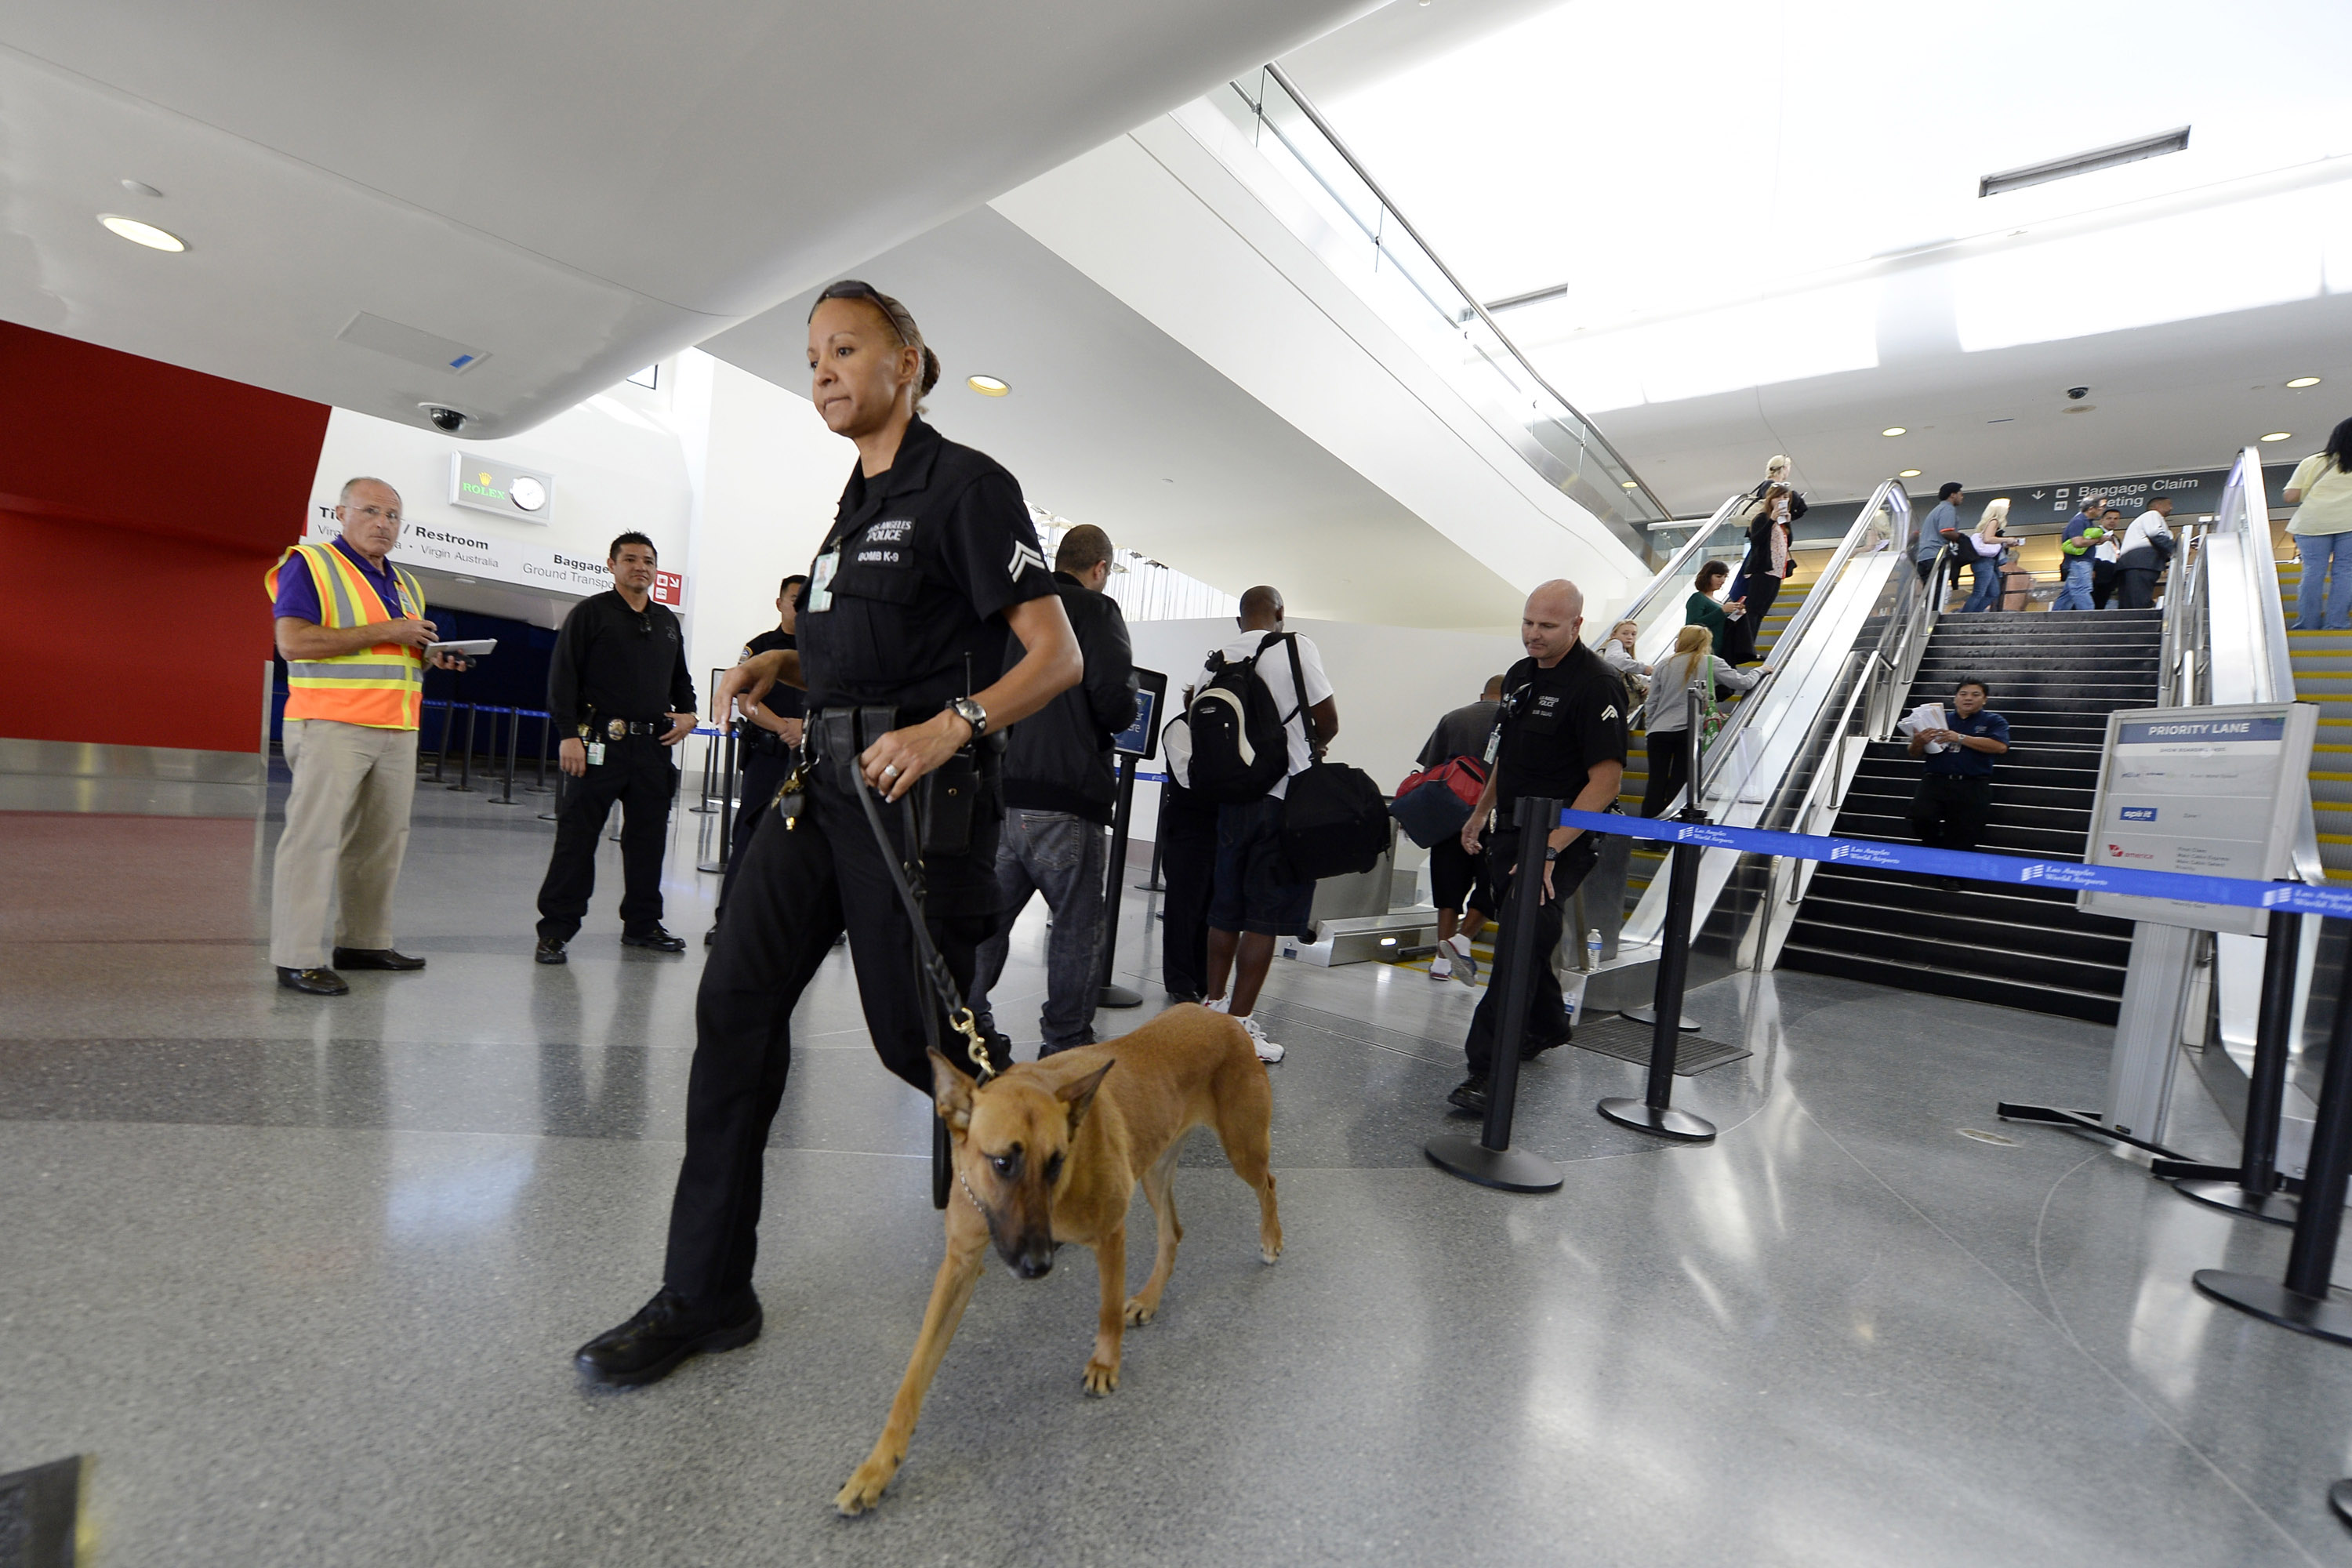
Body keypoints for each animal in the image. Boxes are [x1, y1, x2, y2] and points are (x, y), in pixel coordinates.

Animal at [837, 1011, 1289, 1514]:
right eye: (1002, 1162)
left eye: (1056, 1163)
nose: (1038, 1266)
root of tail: (1220, 1017)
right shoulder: (959, 1267)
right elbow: (913, 1378)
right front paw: (878, 1467)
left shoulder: (1110, 1234)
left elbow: (1106, 1310)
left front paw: (1105, 1364)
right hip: (1156, 1168)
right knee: (1172, 1233)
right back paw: (1151, 1298)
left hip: (1242, 1147)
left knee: (1267, 1184)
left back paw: (1271, 1238)